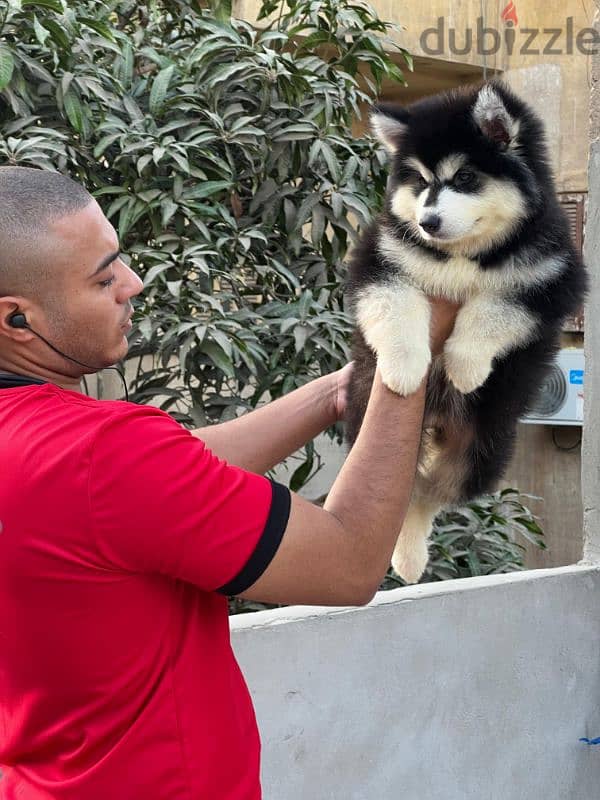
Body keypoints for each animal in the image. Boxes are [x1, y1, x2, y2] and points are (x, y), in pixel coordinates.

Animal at [344, 79, 588, 580]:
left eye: (465, 179)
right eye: (420, 182)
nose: (427, 222)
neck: (464, 253)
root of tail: (439, 420)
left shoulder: (553, 277)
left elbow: (496, 306)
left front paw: (464, 363)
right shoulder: (379, 258)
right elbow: (395, 302)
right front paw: (404, 367)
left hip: (485, 444)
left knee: (432, 494)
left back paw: (411, 553)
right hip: (365, 418)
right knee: (410, 490)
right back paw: (407, 554)